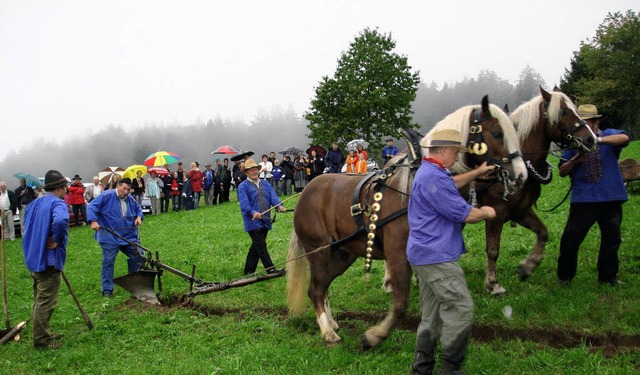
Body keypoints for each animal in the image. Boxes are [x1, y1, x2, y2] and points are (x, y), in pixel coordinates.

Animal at [286, 94, 524, 350]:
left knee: (323, 287)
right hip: (319, 251)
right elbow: (400, 301)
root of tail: (305, 192)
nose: (521, 175)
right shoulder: (399, 252)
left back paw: (331, 323)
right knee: (316, 289)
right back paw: (328, 332)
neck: (414, 184)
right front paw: (374, 335)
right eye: (497, 133)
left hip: (343, 253)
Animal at [476, 86, 596, 296]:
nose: (591, 138)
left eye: (576, 109)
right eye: (563, 112)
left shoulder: (521, 211)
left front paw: (528, 266)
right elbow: (492, 249)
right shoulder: (495, 212)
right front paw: (493, 283)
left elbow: (543, 232)